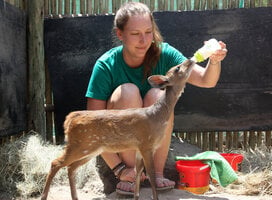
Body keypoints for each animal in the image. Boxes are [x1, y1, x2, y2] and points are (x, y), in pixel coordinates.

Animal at [40, 58, 194, 199]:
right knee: (56, 163)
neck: (157, 116)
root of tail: (70, 119)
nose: (191, 60)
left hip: (90, 149)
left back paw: (75, 197)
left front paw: (136, 196)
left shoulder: (138, 148)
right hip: (79, 145)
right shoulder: (147, 144)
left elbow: (138, 173)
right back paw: (44, 196)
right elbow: (150, 175)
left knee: (71, 167)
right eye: (178, 68)